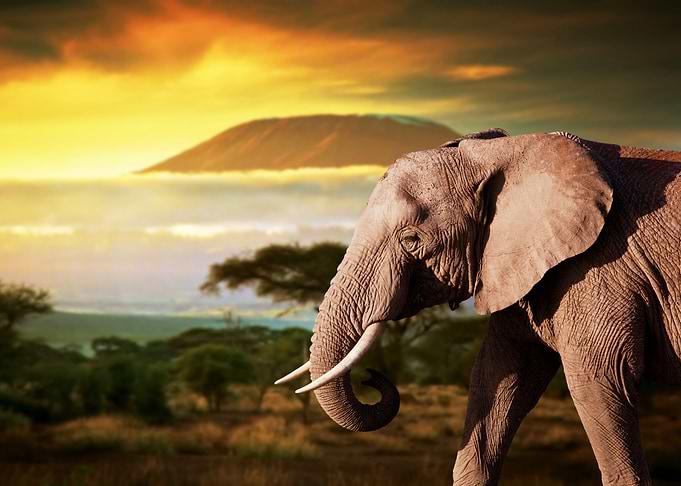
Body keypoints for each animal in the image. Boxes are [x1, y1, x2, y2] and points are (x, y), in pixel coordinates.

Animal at [275, 129, 681, 485]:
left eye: (411, 240)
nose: (371, 377)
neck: (499, 154)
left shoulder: (602, 265)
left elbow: (599, 379)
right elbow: (499, 377)